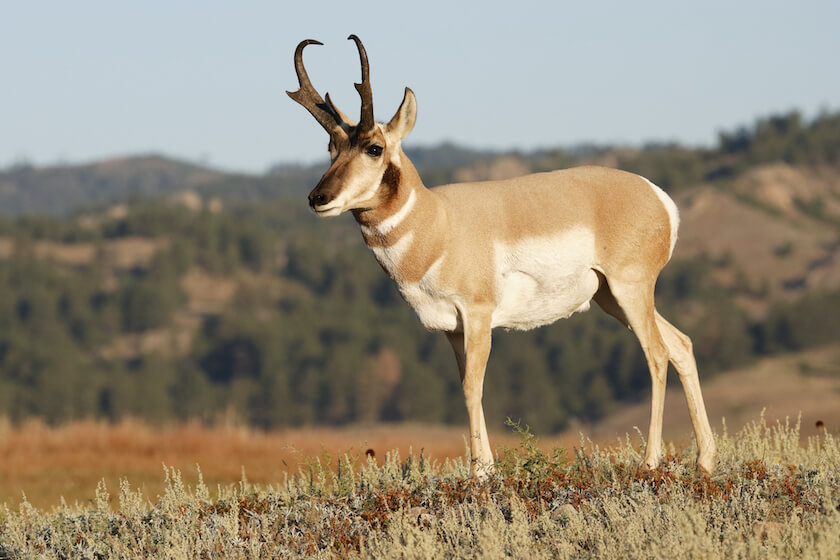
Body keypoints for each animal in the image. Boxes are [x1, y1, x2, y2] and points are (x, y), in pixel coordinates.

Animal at [288, 35, 717, 478]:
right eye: (332, 147)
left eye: (374, 147)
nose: (318, 198)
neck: (438, 220)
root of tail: (657, 195)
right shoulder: (452, 329)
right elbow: (466, 387)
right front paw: (485, 469)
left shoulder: (478, 316)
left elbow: (473, 386)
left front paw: (481, 474)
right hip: (610, 298)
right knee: (681, 344)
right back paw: (704, 460)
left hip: (630, 290)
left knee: (658, 354)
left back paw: (650, 462)